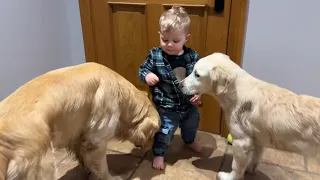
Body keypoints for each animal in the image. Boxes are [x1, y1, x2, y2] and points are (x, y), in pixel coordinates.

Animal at [0, 62, 160, 180]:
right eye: (154, 134)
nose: (150, 150)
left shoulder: (78, 136)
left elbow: (84, 158)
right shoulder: (97, 140)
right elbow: (102, 167)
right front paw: (111, 177)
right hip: (43, 165)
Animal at [181, 52, 320, 179]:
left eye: (197, 74)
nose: (179, 84)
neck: (235, 91)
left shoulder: (241, 141)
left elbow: (236, 166)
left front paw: (229, 177)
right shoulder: (258, 138)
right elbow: (255, 158)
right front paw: (249, 169)